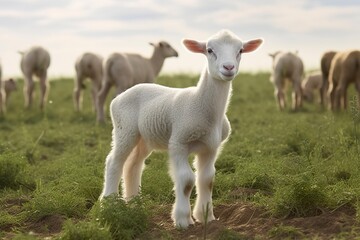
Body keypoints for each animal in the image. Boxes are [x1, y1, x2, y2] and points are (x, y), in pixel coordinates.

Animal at [100, 29, 262, 228]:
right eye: (209, 50)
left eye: (240, 51)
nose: (228, 67)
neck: (201, 105)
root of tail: (119, 97)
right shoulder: (178, 143)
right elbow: (186, 180)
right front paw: (183, 220)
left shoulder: (211, 147)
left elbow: (207, 179)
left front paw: (206, 217)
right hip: (124, 130)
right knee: (114, 162)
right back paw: (109, 204)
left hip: (145, 138)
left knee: (133, 165)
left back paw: (134, 204)